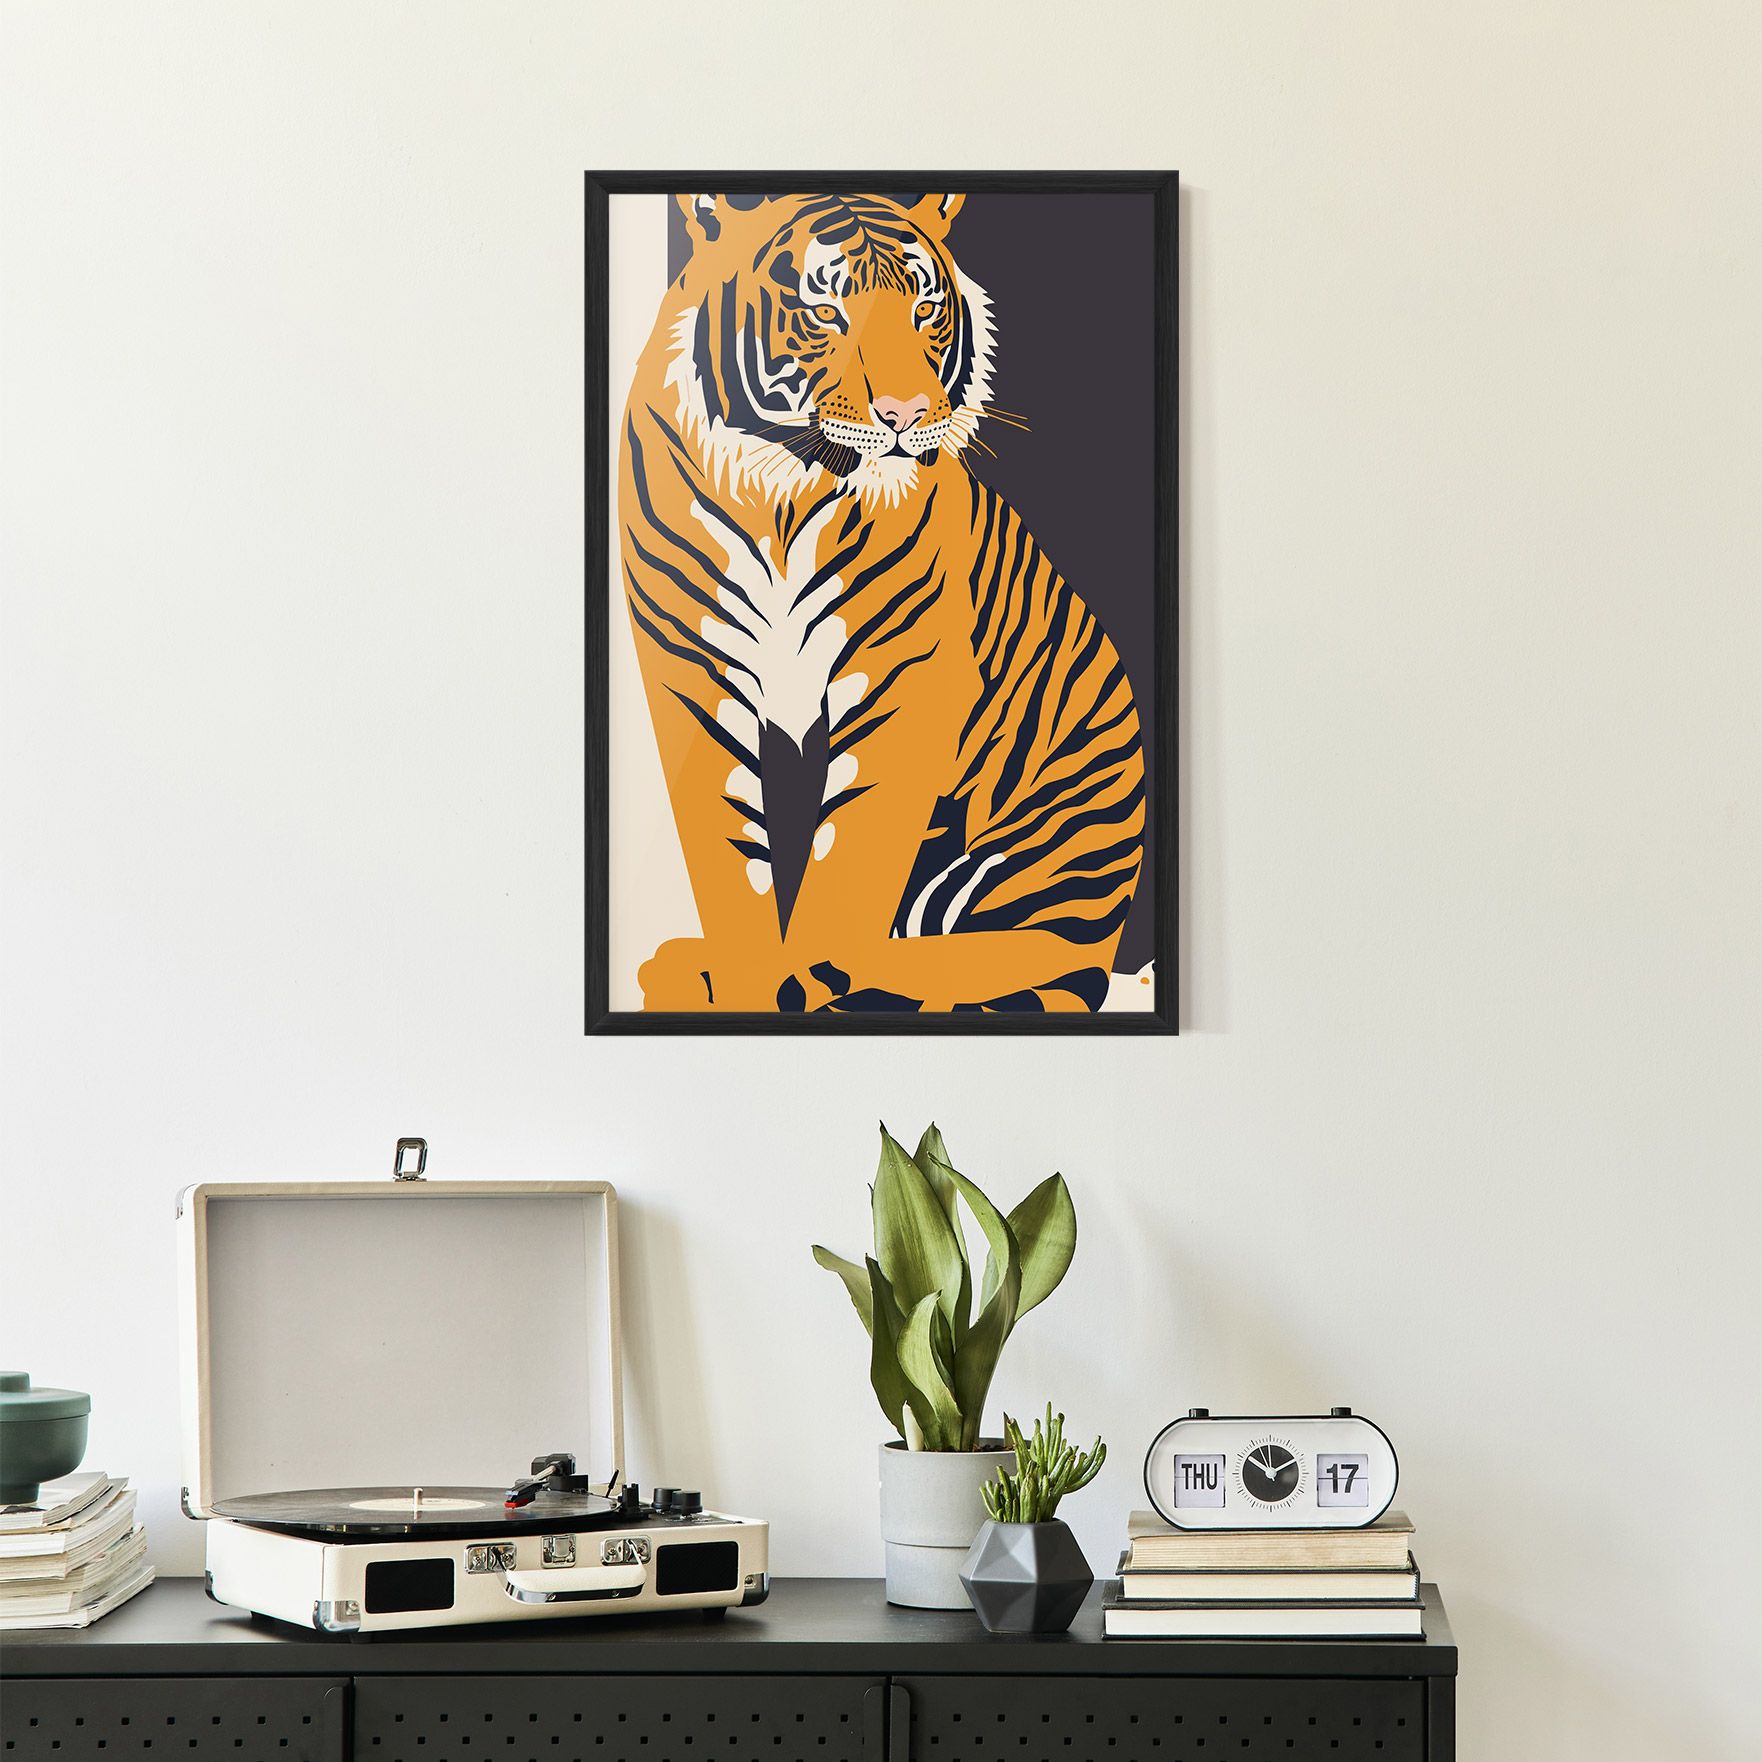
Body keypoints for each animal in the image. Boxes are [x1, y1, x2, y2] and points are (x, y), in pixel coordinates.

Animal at [618, 191, 1145, 1013]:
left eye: (925, 309)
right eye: (825, 311)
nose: (906, 415)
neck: (785, 497)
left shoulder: (904, 670)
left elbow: (853, 850)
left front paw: (809, 971)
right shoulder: (691, 665)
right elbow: (728, 846)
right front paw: (744, 972)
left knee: (1031, 957)